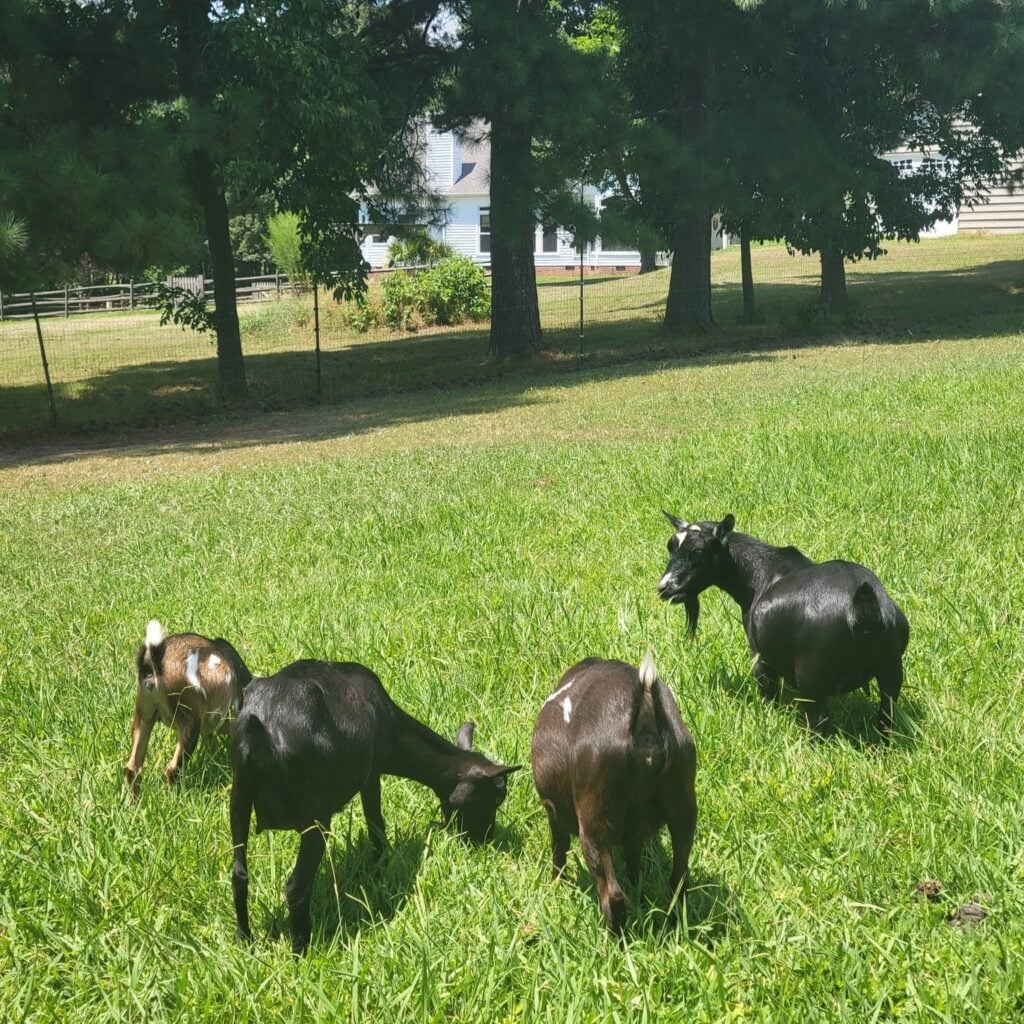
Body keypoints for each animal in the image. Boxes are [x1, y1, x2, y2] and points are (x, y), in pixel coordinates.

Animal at [229, 658, 521, 953]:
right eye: (495, 798)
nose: (486, 839)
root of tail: (263, 735)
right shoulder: (371, 772)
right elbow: (375, 823)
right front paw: (381, 868)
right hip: (315, 811)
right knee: (297, 887)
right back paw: (301, 951)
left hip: (239, 794)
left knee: (239, 875)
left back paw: (245, 940)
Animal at [530, 652, 697, 934]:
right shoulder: (634, 834)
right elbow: (633, 862)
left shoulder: (553, 809)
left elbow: (559, 848)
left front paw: (556, 884)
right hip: (684, 808)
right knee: (679, 879)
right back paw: (676, 925)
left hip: (594, 824)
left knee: (612, 895)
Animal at [658, 513, 909, 736]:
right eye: (671, 546)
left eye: (698, 551)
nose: (664, 588)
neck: (759, 572)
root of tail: (860, 609)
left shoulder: (760, 657)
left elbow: (768, 694)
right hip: (892, 669)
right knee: (886, 716)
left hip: (810, 676)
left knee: (819, 720)